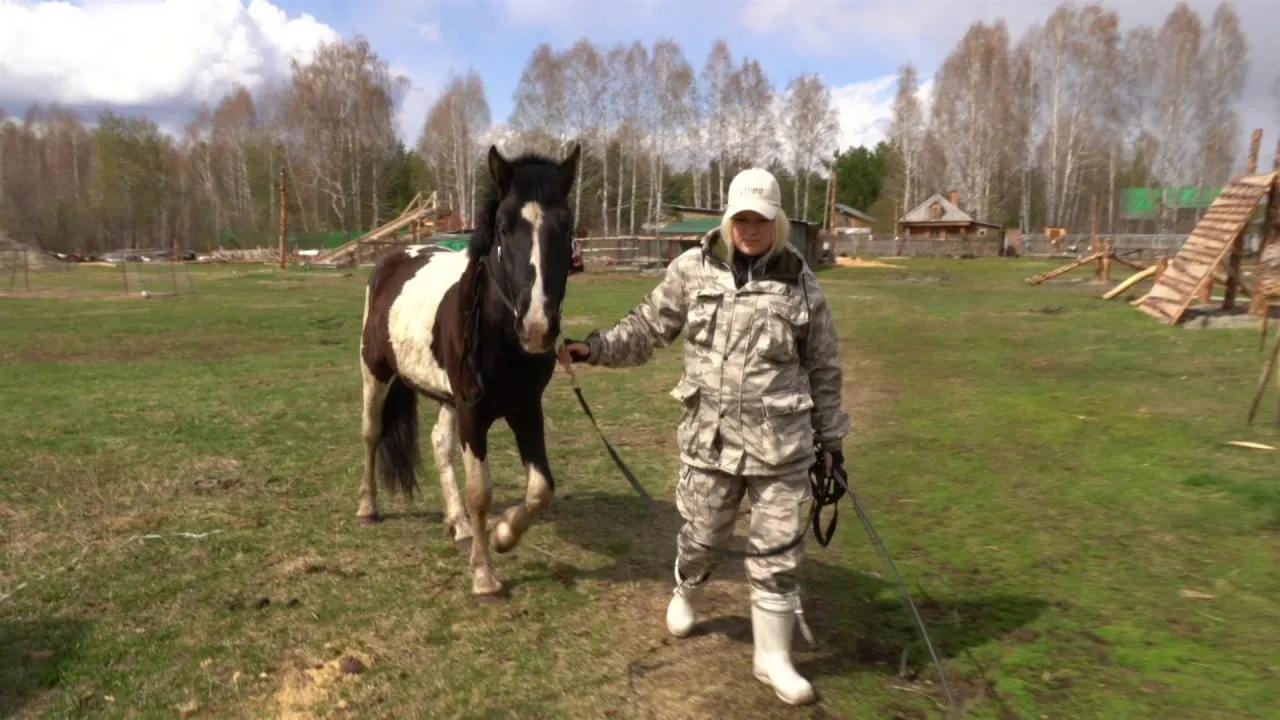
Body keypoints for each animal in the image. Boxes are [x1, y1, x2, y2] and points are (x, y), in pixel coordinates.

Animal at [358, 142, 583, 597]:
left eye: (566, 225)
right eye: (503, 226)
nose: (537, 327)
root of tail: (394, 256)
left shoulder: (525, 408)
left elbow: (541, 488)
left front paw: (502, 534)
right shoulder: (473, 412)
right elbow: (481, 490)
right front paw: (484, 575)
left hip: (448, 397)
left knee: (438, 444)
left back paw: (460, 526)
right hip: (375, 371)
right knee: (371, 432)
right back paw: (368, 506)